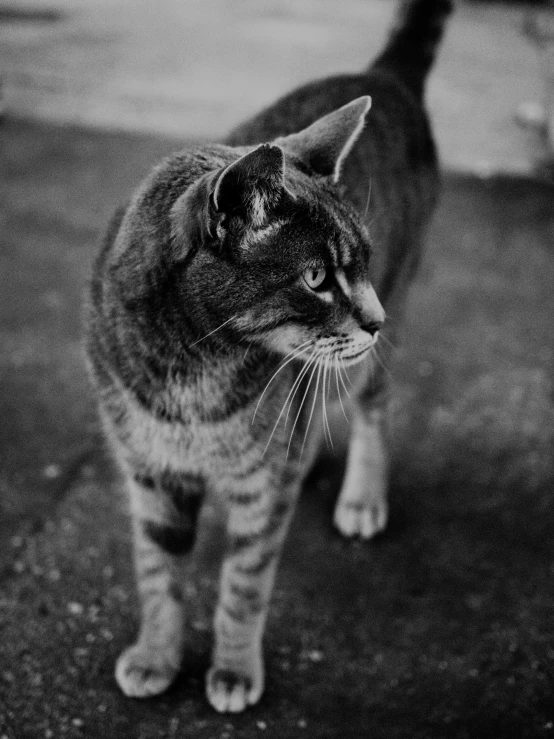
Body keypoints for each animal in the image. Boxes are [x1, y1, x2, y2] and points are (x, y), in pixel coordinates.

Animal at [84, 0, 450, 716]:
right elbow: (158, 575)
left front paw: (232, 669)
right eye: (316, 278)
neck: (190, 370)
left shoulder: (260, 491)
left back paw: (362, 496)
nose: (374, 320)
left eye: (361, 262)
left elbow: (243, 586)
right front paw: (156, 656)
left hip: (380, 338)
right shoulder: (150, 475)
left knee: (374, 406)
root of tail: (384, 74)